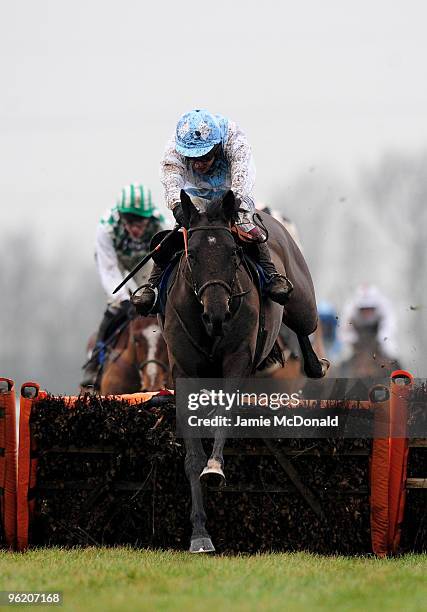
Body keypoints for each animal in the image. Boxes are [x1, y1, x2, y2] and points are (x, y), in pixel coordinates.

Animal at [162, 189, 330, 552]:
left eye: (233, 253)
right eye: (193, 257)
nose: (216, 313)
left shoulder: (237, 358)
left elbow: (224, 416)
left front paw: (214, 467)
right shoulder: (183, 372)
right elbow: (191, 456)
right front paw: (200, 534)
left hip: (302, 302)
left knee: (303, 325)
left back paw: (315, 364)